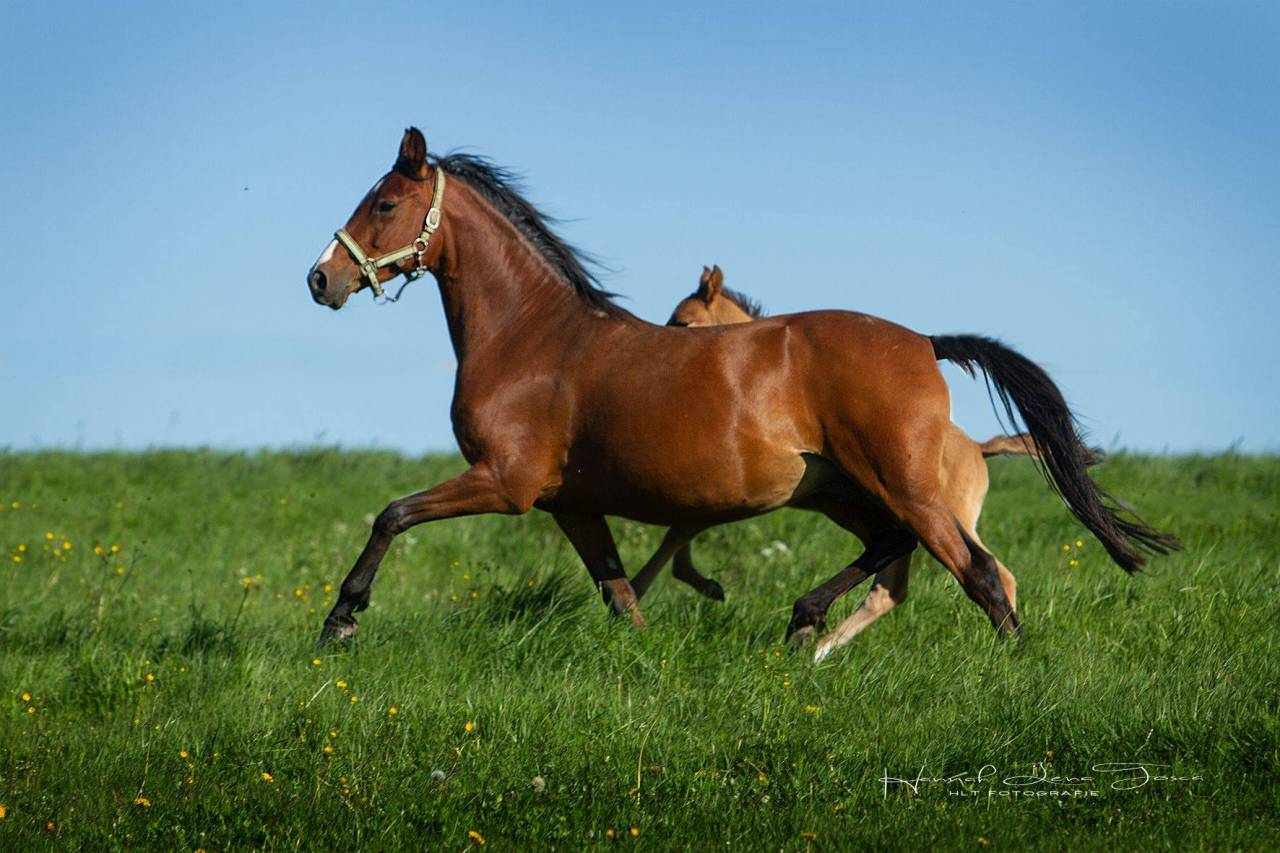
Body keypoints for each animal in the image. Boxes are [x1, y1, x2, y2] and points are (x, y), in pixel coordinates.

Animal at [632, 266, 1073, 660]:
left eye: (683, 320)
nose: (662, 356)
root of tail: (979, 448)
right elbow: (682, 529)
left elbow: (680, 529)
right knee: (900, 585)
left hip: (927, 508)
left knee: (976, 571)